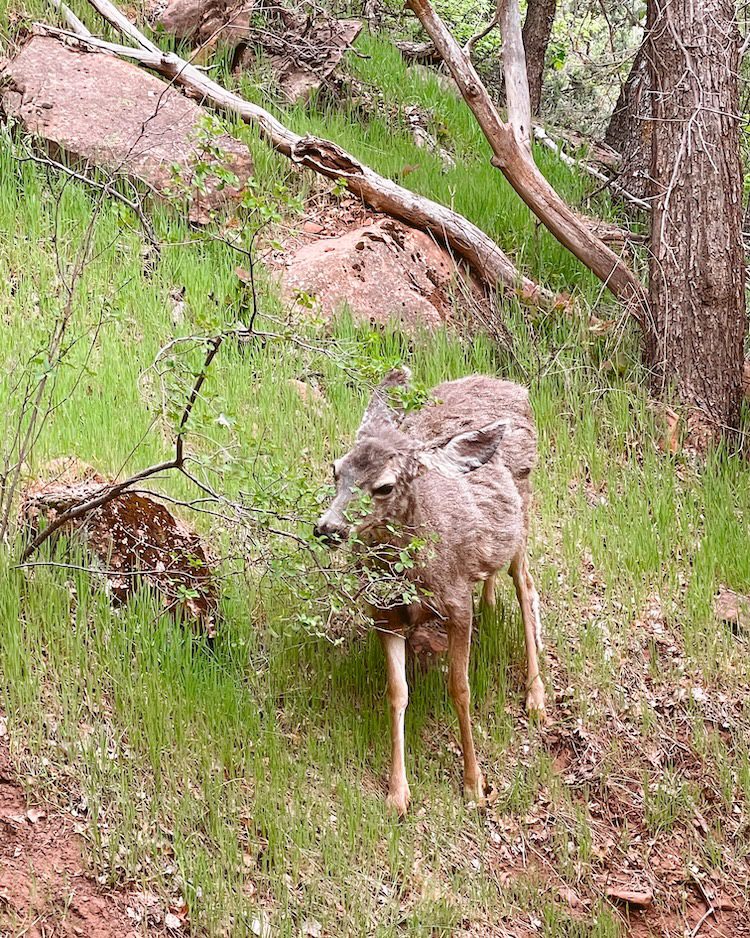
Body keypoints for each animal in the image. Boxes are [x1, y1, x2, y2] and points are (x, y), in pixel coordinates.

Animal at [313, 368, 544, 816]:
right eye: (336, 469)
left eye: (384, 486)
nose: (328, 528)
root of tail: (512, 387)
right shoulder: (384, 613)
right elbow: (397, 692)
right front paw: (397, 793)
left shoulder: (456, 604)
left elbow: (460, 689)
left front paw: (475, 784)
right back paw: (491, 602)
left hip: (523, 517)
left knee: (526, 587)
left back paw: (536, 696)